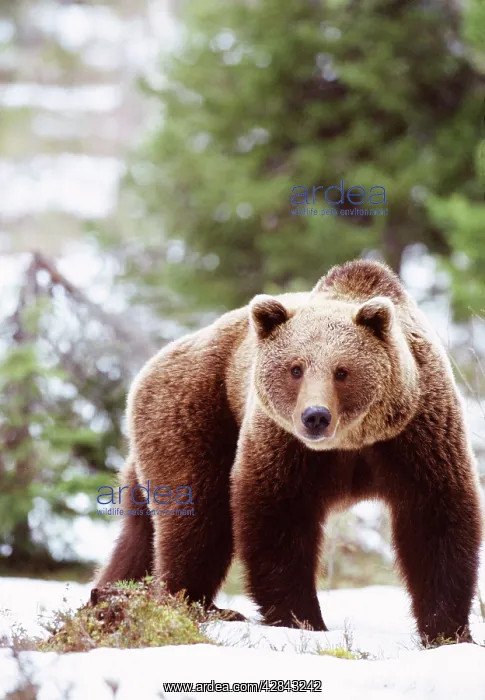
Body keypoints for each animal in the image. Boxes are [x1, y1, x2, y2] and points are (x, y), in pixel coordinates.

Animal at [97, 259, 483, 645]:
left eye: (342, 371)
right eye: (295, 368)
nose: (315, 416)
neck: (351, 441)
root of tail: (155, 361)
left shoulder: (416, 435)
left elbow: (434, 519)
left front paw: (448, 630)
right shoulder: (283, 443)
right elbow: (276, 518)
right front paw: (302, 618)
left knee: (140, 529)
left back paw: (112, 594)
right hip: (195, 412)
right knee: (196, 514)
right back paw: (188, 603)